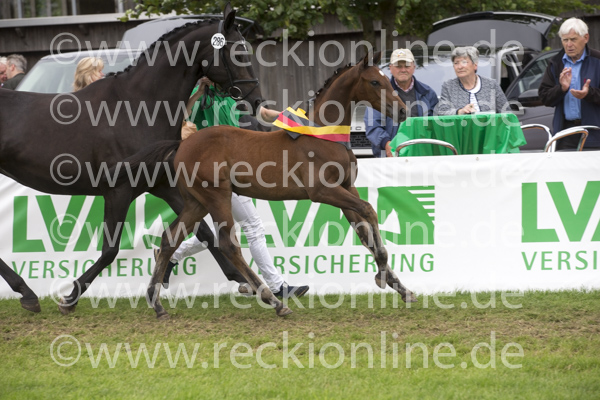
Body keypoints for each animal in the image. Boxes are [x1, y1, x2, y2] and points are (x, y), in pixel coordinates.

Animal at [0, 3, 260, 313]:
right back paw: (27, 293)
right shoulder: (118, 190)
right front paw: (71, 297)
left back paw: (26, 293)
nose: (256, 100)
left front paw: (242, 280)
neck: (137, 106)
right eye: (238, 53)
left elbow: (203, 232)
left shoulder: (162, 185)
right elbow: (110, 250)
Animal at [123, 51, 415, 319]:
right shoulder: (323, 192)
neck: (322, 135)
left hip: (197, 203)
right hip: (217, 197)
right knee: (228, 244)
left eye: (386, 79)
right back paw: (273, 301)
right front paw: (383, 272)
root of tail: (181, 145)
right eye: (375, 82)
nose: (402, 111)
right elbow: (369, 211)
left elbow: (365, 232)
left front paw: (400, 287)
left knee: (169, 238)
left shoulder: (346, 189)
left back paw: (157, 303)